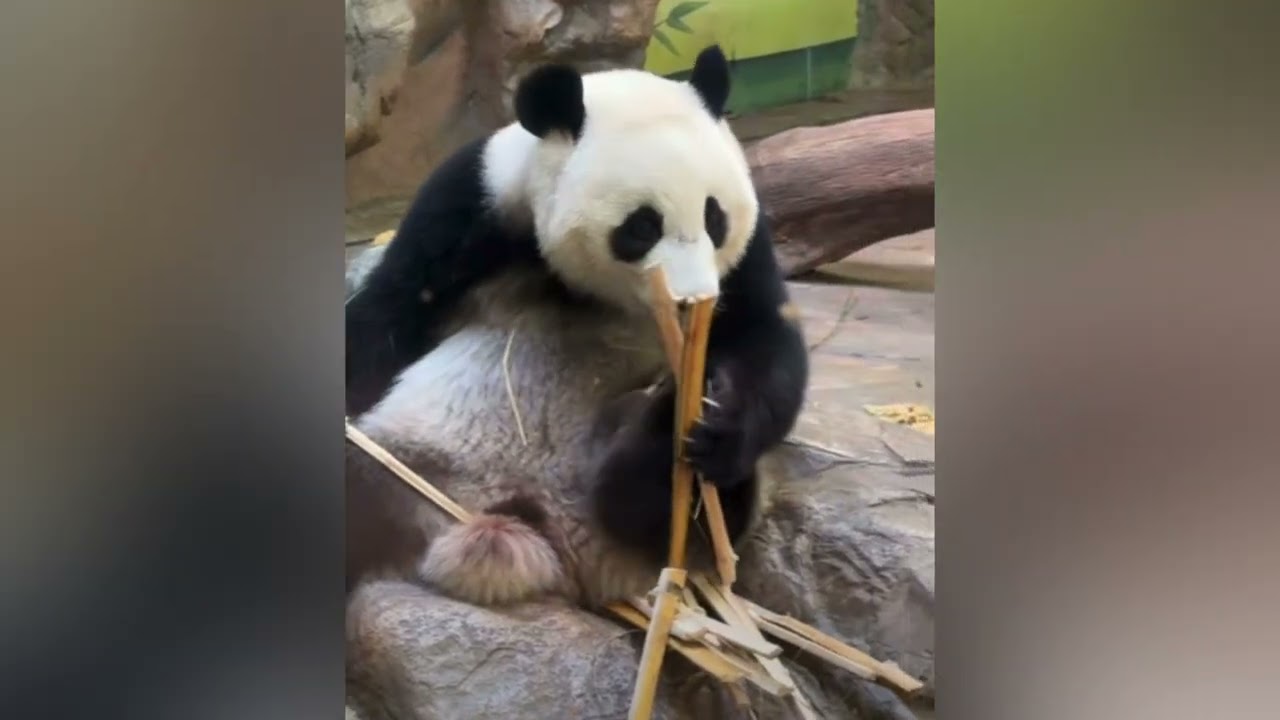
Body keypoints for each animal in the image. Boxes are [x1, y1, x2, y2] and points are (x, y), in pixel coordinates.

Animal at [345, 45, 809, 608]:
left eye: (714, 217)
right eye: (642, 226)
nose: (691, 300)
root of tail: (539, 525)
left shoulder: (745, 255)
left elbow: (764, 337)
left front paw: (718, 420)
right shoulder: (473, 207)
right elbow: (389, 312)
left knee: (654, 506)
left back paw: (662, 434)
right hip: (414, 459)